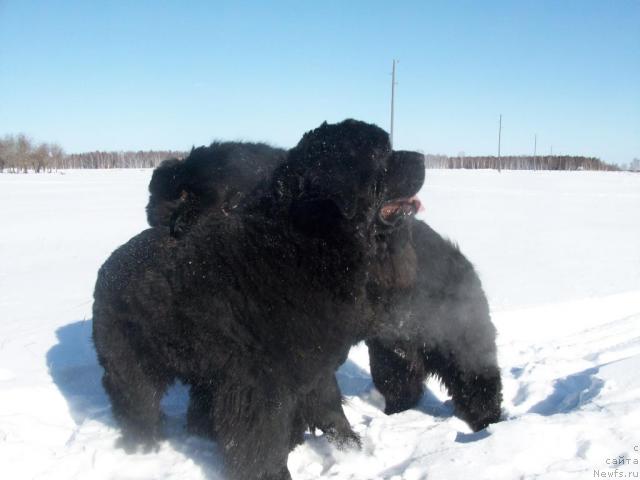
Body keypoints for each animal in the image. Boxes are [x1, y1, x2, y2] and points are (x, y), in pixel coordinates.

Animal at [91, 117, 424, 480]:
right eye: (380, 153)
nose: (422, 157)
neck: (302, 246)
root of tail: (110, 262)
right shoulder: (259, 385)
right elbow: (260, 443)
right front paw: (272, 474)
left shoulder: (314, 366)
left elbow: (331, 410)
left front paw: (352, 451)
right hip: (132, 362)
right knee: (138, 404)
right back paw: (143, 449)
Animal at [148, 126, 502, 432]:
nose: (168, 230)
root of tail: (464, 263)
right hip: (391, 354)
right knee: (404, 388)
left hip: (460, 347)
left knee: (480, 390)